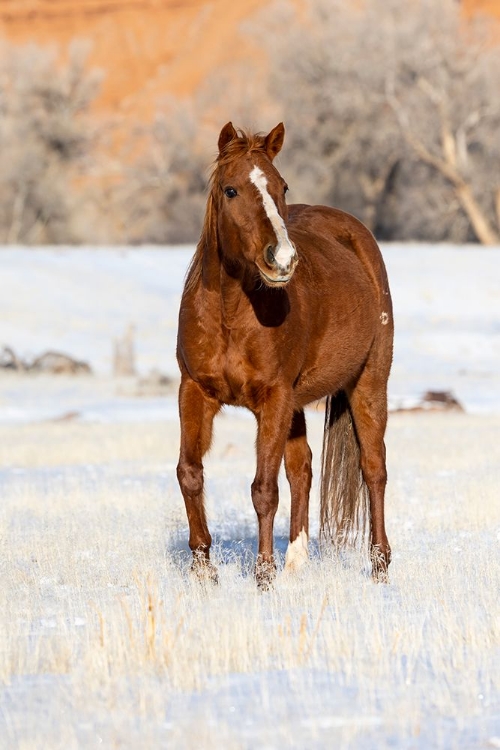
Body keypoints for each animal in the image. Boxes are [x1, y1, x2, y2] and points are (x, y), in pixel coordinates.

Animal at [177, 122, 394, 588]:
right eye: (231, 190)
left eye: (282, 186)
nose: (282, 259)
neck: (229, 313)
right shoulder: (195, 392)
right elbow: (190, 473)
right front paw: (204, 570)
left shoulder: (273, 399)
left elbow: (263, 489)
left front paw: (263, 576)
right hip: (297, 403)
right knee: (303, 467)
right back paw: (297, 560)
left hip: (369, 383)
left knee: (373, 468)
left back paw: (380, 567)